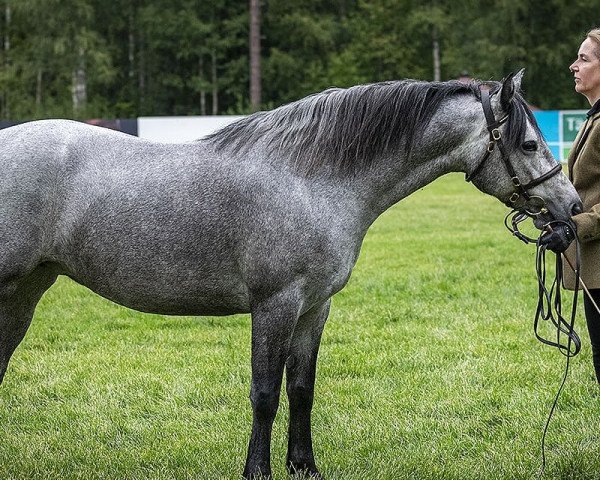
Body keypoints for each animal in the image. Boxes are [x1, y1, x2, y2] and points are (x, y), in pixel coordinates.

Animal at [0, 70, 580, 476]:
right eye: (529, 144)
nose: (571, 207)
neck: (312, 179)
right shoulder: (275, 304)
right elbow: (265, 393)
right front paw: (257, 471)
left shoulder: (314, 307)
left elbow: (302, 388)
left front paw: (305, 466)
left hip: (25, 291)